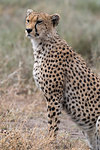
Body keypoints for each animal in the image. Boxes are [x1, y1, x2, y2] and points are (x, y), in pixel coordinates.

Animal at [25, 9, 100, 149]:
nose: (28, 30)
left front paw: (50, 141)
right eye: (28, 20)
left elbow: (53, 122)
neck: (42, 43)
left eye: (39, 21)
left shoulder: (54, 95)